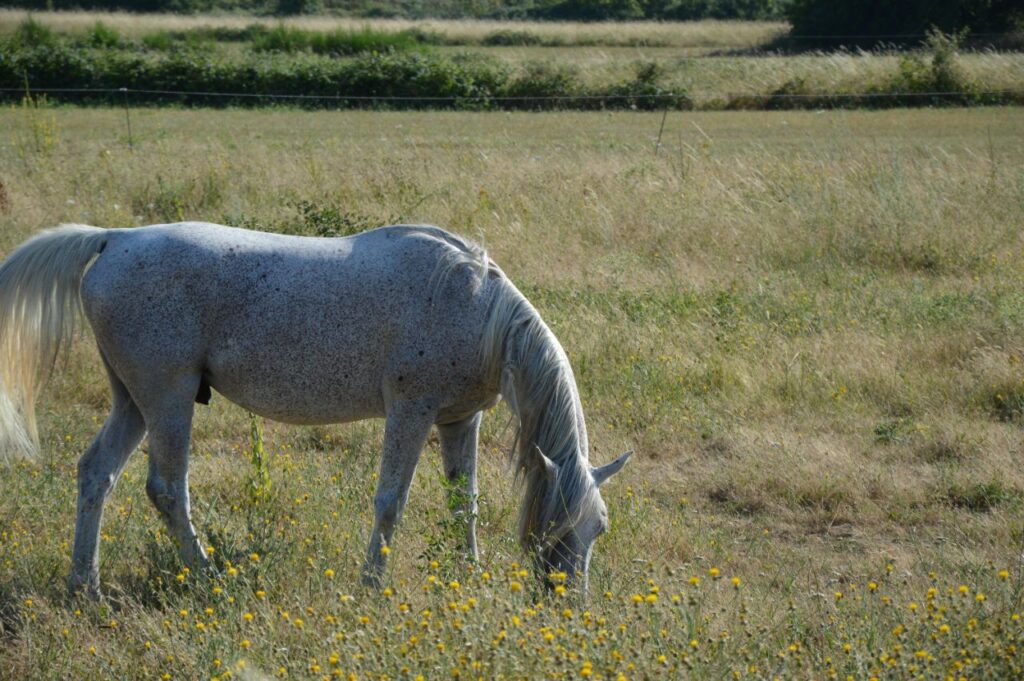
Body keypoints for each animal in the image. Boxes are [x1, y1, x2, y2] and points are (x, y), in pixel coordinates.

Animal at [0, 222, 630, 598]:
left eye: (598, 527)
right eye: (561, 527)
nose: (569, 602)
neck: (475, 308)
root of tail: (117, 236)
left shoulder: (458, 420)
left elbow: (464, 504)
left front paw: (467, 575)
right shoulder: (411, 411)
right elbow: (391, 503)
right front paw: (372, 586)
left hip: (134, 401)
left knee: (96, 473)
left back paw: (85, 585)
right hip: (168, 398)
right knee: (166, 489)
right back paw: (208, 574)